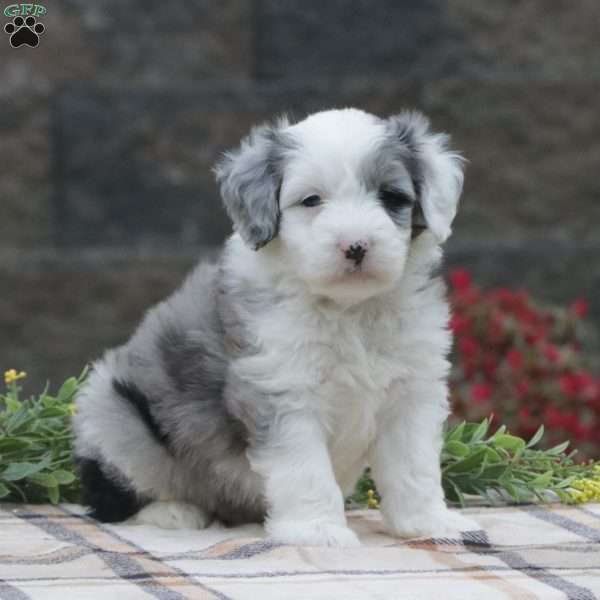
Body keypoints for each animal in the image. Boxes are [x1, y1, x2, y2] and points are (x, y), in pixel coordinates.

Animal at [74, 106, 478, 544]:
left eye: (391, 197)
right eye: (311, 200)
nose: (356, 246)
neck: (349, 309)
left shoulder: (411, 393)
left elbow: (414, 466)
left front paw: (429, 523)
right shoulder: (283, 391)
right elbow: (306, 470)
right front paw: (319, 530)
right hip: (114, 414)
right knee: (115, 498)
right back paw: (176, 513)